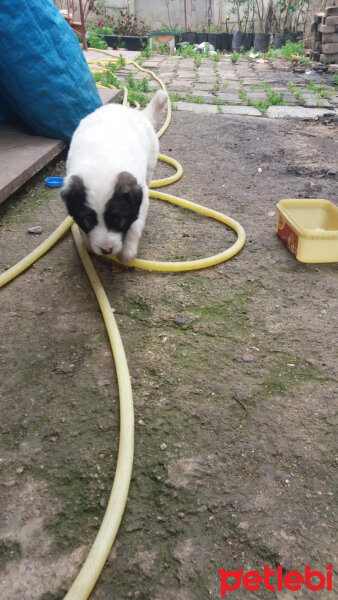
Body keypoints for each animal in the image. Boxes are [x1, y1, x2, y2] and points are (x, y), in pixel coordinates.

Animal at [60, 90, 168, 264]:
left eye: (119, 219)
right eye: (87, 220)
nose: (106, 250)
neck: (100, 163)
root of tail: (136, 112)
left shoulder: (141, 198)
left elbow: (136, 223)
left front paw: (127, 252)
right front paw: (88, 243)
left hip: (151, 161)